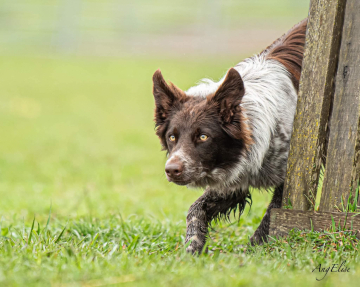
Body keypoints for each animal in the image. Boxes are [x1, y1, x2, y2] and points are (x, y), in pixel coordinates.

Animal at [152, 18, 306, 254]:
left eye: (203, 137)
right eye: (172, 137)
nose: (171, 170)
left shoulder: (287, 178)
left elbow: (272, 214)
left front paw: (254, 249)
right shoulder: (234, 181)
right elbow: (195, 210)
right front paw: (193, 247)